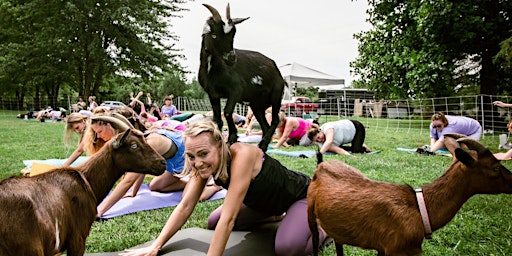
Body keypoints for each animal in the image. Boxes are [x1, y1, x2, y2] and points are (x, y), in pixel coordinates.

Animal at [198, 3, 284, 152]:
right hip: (256, 104)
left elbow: (227, 112)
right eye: (214, 35)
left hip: (276, 95)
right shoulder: (212, 93)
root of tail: (274, 66)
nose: (232, 58)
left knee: (275, 120)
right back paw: (263, 146)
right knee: (265, 125)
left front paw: (232, 137)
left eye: (233, 34)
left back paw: (263, 144)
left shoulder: (236, 90)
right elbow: (217, 118)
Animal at [306, 134, 512, 256]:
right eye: (495, 167)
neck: (420, 209)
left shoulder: (385, 247)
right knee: (315, 239)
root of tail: (320, 165)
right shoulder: (396, 249)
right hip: (310, 211)